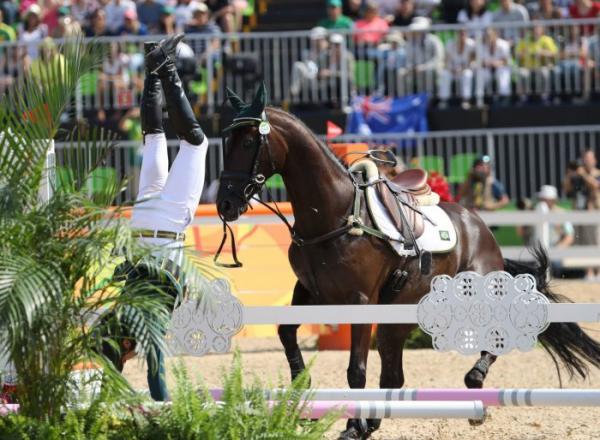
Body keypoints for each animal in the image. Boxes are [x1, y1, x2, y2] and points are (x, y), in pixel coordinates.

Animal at [216, 84, 600, 438]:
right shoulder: (309, 292)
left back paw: (474, 383)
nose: (225, 204)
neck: (333, 215)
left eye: (248, 143)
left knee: (493, 333)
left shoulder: (360, 301)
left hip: (470, 297)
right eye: (226, 141)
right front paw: (303, 393)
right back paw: (374, 420)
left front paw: (351, 424)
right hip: (398, 317)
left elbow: (356, 370)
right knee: (393, 372)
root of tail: (480, 227)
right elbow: (286, 332)